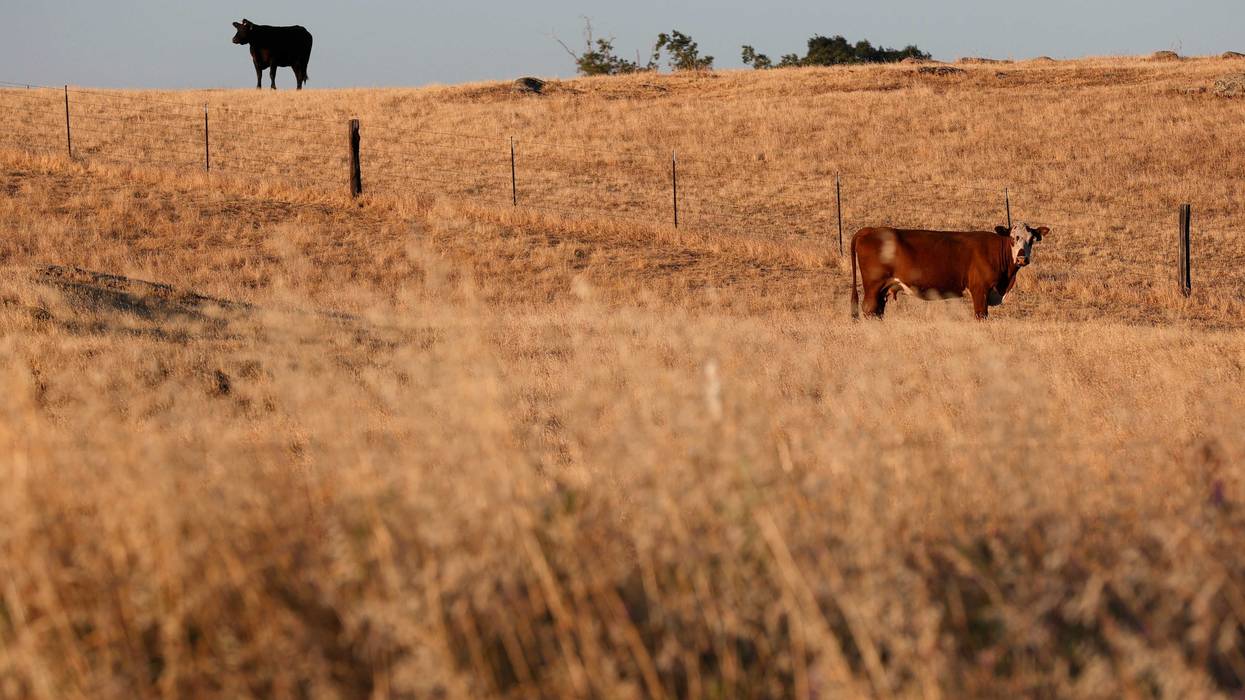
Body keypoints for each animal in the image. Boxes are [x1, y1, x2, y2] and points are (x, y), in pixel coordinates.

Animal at [850, 222, 1047, 320]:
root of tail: (871, 230)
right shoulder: (980, 290)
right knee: (869, 310)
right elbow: (981, 316)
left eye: (1032, 240)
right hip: (873, 286)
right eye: (1013, 238)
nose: (1022, 258)